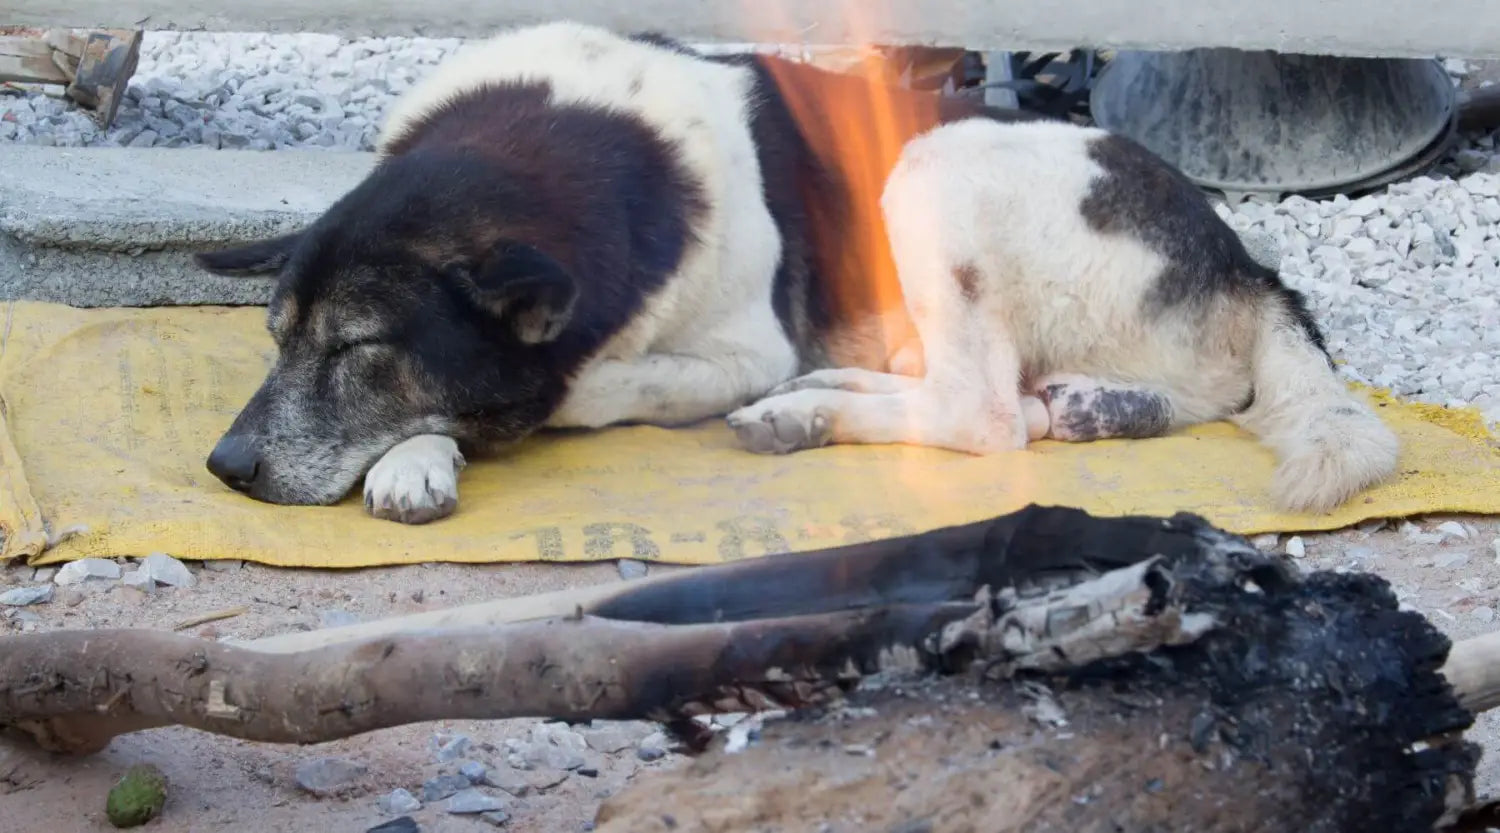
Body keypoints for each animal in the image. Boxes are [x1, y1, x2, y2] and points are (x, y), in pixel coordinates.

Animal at [193, 22, 1398, 525]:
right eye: (276, 336)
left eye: (359, 347)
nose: (226, 465)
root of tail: (1245, 260)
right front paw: (418, 456)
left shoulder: (733, 343)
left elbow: (562, 388)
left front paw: (454, 433)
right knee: (1029, 402)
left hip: (930, 165)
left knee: (986, 414)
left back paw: (803, 412)